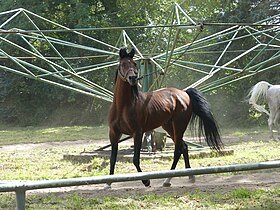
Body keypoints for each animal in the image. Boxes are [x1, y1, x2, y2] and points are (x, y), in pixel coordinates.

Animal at [106, 48, 224, 189]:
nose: (133, 78)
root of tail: (184, 93)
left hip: (179, 126)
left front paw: (146, 181)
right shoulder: (114, 133)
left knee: (178, 150)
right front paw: (108, 183)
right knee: (184, 147)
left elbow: (135, 159)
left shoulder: (138, 133)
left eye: (134, 64)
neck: (123, 106)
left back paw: (167, 180)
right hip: (169, 127)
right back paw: (190, 177)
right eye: (123, 64)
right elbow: (112, 158)